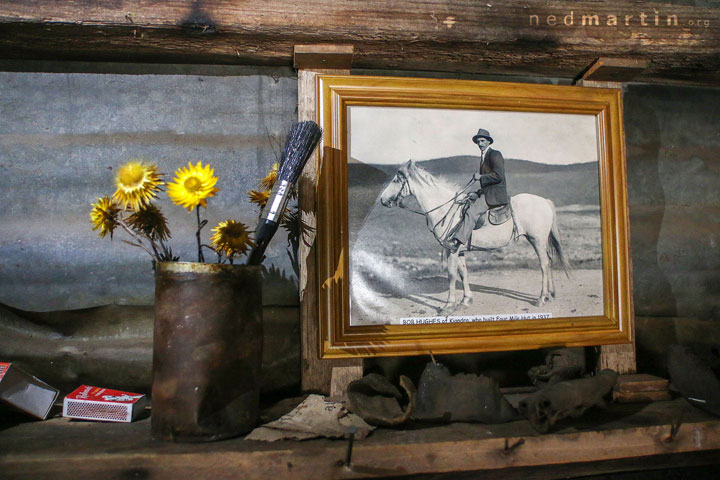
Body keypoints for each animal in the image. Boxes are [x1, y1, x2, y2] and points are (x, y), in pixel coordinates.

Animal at [380, 159, 572, 314]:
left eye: (396, 180)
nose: (382, 200)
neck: (446, 209)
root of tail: (544, 201)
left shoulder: (451, 248)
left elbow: (451, 274)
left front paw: (448, 305)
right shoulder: (459, 249)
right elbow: (463, 272)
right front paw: (466, 300)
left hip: (537, 239)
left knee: (544, 264)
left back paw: (541, 298)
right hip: (538, 240)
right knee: (549, 262)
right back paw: (550, 295)